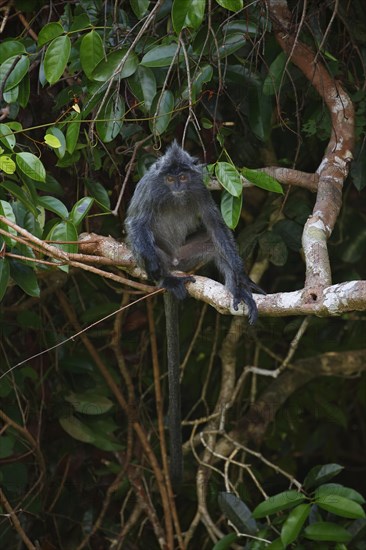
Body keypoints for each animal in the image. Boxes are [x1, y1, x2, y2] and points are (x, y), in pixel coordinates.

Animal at [125, 142, 264, 492]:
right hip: (164, 256)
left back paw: (240, 289)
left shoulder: (200, 188)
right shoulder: (150, 187)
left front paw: (240, 281)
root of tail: (176, 262)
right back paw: (166, 279)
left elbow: (217, 228)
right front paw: (154, 269)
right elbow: (136, 223)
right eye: (170, 177)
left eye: (183, 177)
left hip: (188, 257)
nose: (177, 185)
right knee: (145, 244)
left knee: (214, 243)